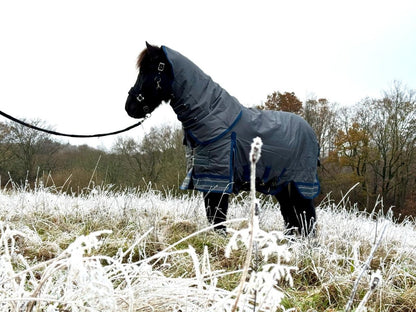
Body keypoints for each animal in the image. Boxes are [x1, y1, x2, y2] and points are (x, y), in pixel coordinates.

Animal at [125, 42, 320, 236]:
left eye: (147, 71)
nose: (129, 107)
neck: (212, 115)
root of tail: (311, 133)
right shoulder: (205, 178)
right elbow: (212, 214)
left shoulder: (216, 178)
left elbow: (217, 214)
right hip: (282, 185)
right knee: (292, 216)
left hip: (299, 184)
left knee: (305, 215)